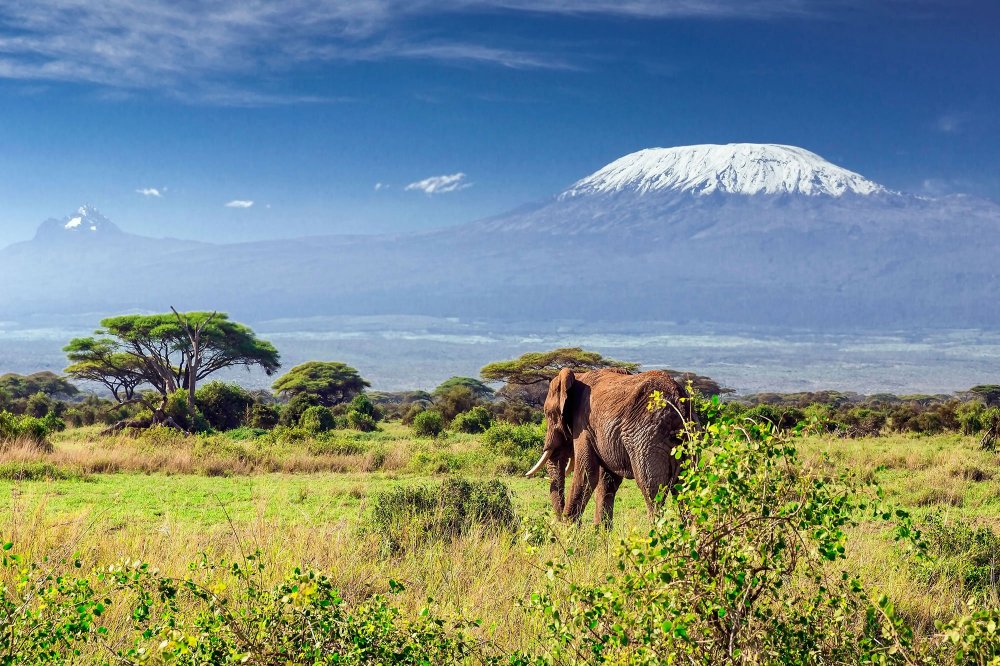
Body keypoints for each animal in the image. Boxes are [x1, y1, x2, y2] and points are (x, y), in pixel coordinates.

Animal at [524, 364, 696, 524]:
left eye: (548, 414)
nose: (559, 521)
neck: (578, 376)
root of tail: (678, 403)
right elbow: (607, 480)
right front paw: (601, 532)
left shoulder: (584, 425)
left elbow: (587, 473)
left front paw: (569, 529)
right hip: (690, 438)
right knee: (688, 489)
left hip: (647, 440)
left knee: (652, 490)